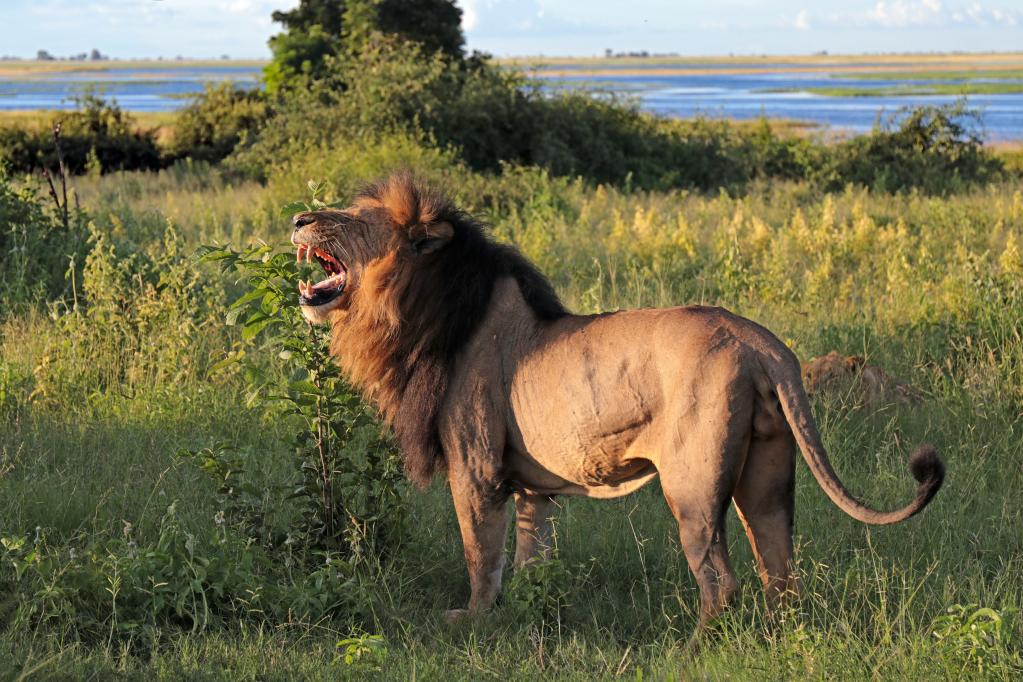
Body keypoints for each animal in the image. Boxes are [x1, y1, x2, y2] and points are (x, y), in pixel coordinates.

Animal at [289, 172, 945, 648]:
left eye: (354, 218)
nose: (297, 219)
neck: (422, 312)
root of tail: (763, 343)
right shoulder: (532, 487)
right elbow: (531, 558)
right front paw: (526, 616)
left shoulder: (476, 472)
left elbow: (482, 557)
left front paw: (472, 622)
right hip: (766, 476)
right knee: (780, 571)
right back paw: (783, 643)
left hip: (693, 486)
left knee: (723, 581)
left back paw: (692, 651)